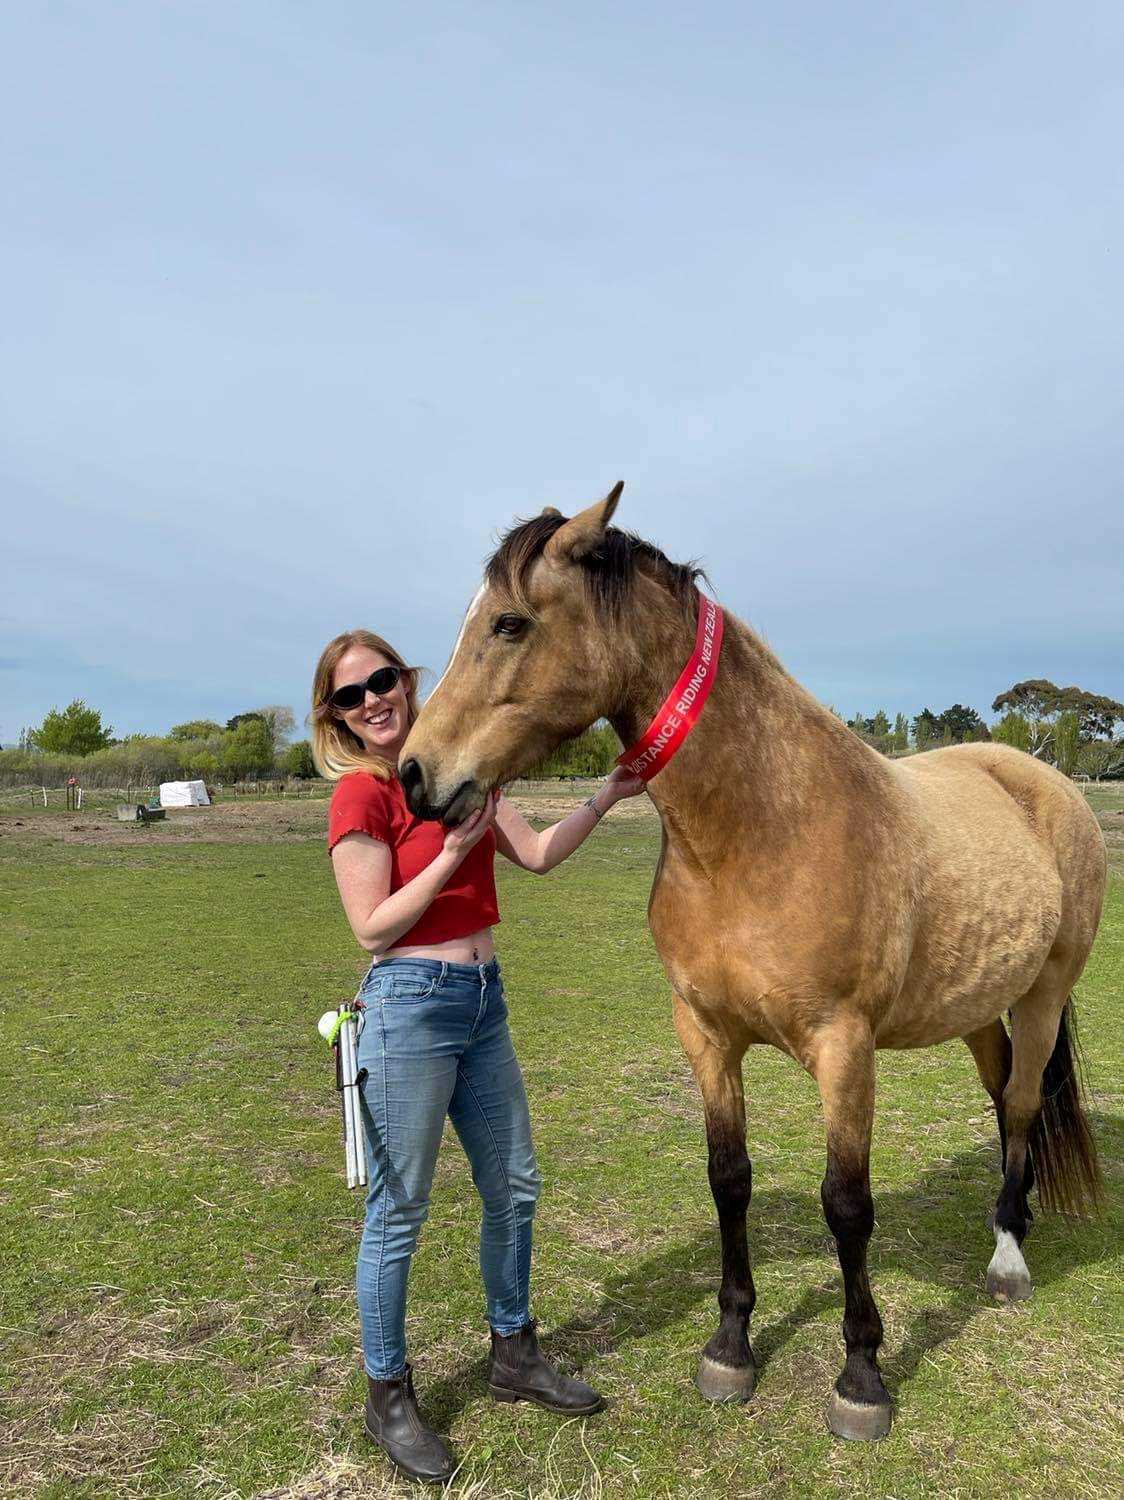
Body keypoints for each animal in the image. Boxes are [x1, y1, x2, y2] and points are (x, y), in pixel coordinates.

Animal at [399, 484, 1105, 1441]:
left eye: (508, 623)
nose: (415, 774)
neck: (764, 825)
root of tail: (1043, 781)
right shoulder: (705, 1034)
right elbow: (727, 1180)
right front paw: (731, 1345)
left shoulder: (844, 1049)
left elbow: (847, 1205)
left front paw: (861, 1377)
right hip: (976, 1007)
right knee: (1001, 1097)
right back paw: (1015, 1219)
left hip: (1044, 993)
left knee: (1026, 1103)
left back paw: (1007, 1259)